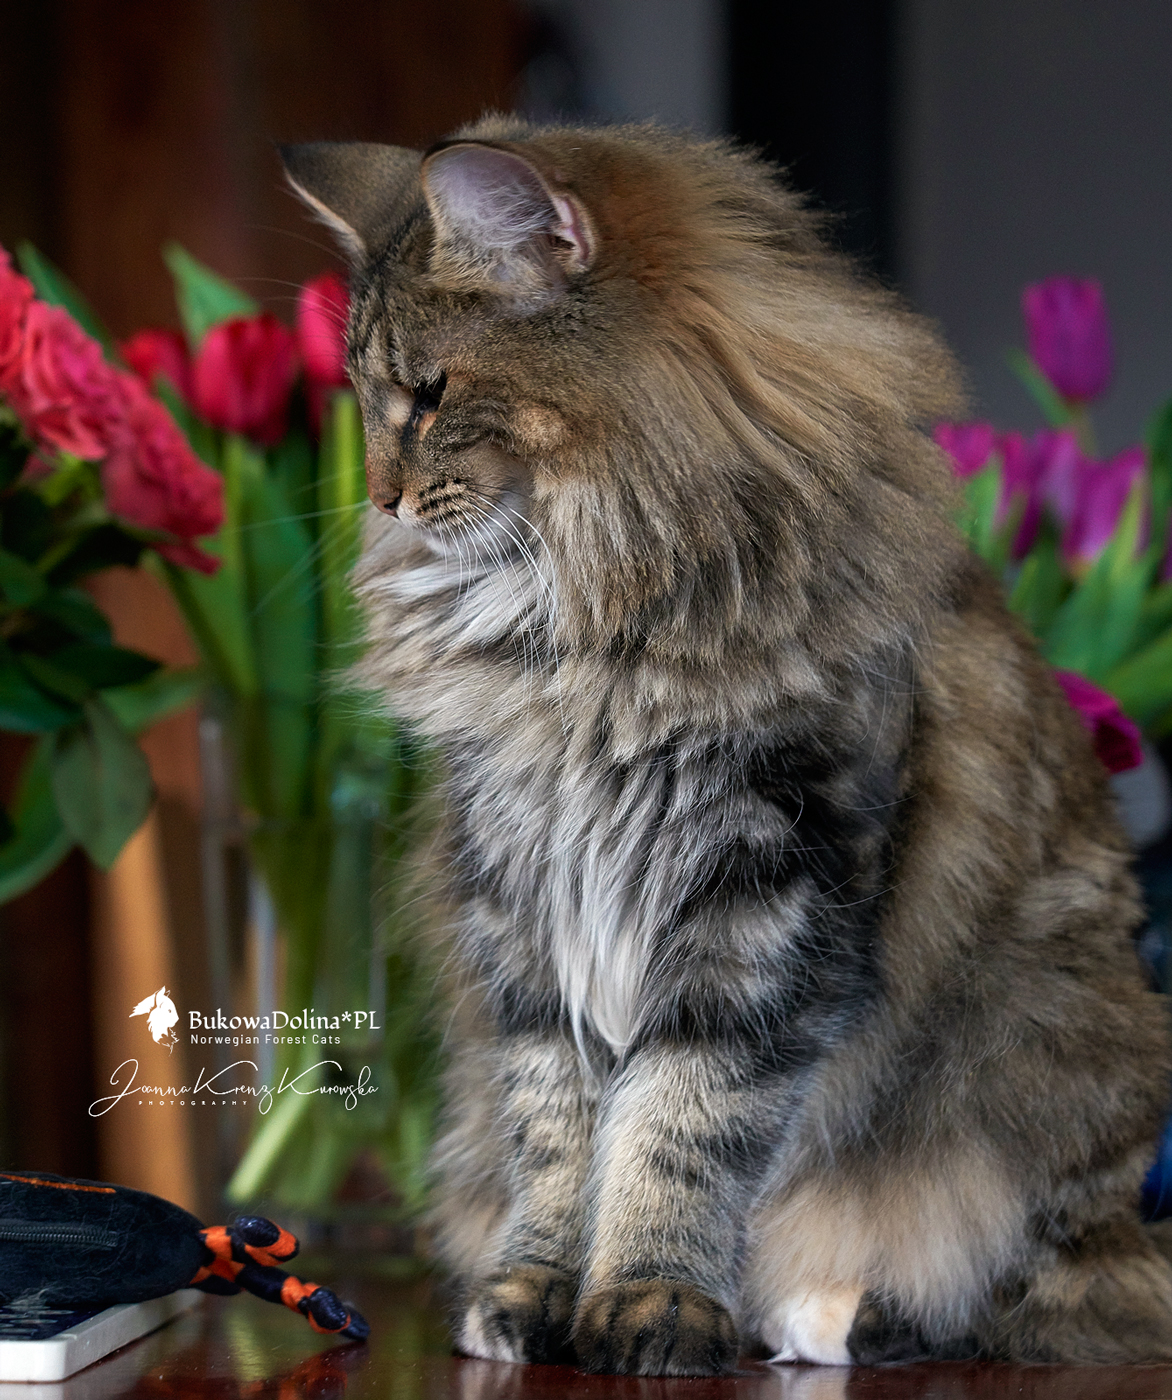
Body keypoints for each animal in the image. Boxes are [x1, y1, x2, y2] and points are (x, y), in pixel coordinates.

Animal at [281, 118, 1172, 1373]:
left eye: (430, 391)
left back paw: (828, 1312)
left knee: (1025, 1286)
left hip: (1050, 1054)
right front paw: (531, 1294)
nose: (385, 497)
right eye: (363, 400)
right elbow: (553, 1133)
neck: (580, 623)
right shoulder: (522, 912)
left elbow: (681, 1123)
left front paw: (650, 1299)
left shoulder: (765, 896)